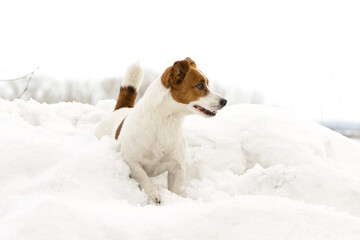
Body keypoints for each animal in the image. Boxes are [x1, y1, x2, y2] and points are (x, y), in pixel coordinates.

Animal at [94, 57, 226, 202]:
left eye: (207, 84)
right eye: (200, 86)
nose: (225, 101)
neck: (166, 121)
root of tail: (121, 108)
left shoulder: (178, 167)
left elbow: (174, 189)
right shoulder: (130, 160)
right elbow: (143, 176)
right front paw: (153, 193)